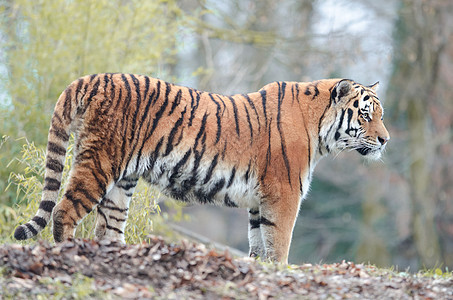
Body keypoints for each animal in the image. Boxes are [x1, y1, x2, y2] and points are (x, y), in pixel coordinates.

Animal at [14, 74, 388, 264]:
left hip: (123, 182)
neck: (320, 127)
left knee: (107, 228)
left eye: (380, 115)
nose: (386, 140)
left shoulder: (260, 201)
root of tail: (92, 78)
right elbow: (280, 243)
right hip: (100, 162)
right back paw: (70, 253)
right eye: (366, 115)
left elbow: (259, 244)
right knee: (63, 212)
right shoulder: (284, 195)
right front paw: (281, 273)